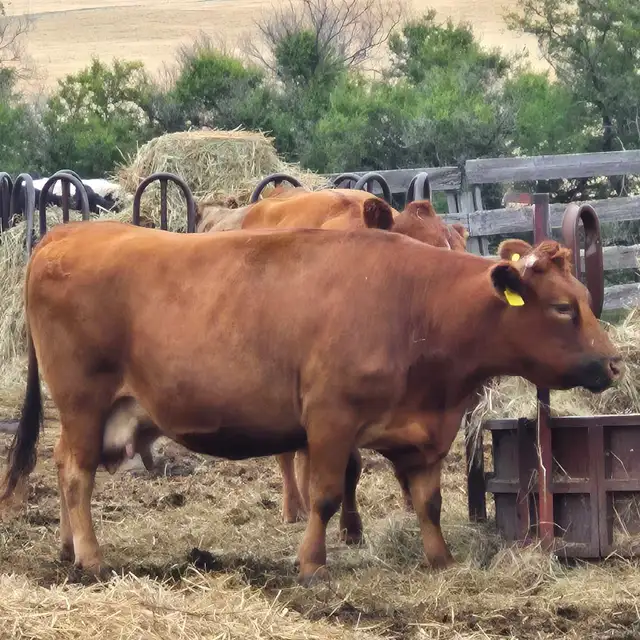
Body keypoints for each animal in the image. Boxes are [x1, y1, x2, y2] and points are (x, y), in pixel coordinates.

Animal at [0, 220, 622, 584]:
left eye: (583, 298)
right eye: (564, 308)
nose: (614, 362)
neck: (415, 304)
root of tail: (66, 234)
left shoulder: (423, 433)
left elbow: (428, 502)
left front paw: (440, 559)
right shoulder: (330, 420)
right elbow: (323, 494)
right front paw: (312, 563)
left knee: (62, 465)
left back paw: (66, 548)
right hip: (84, 401)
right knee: (75, 473)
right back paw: (91, 556)